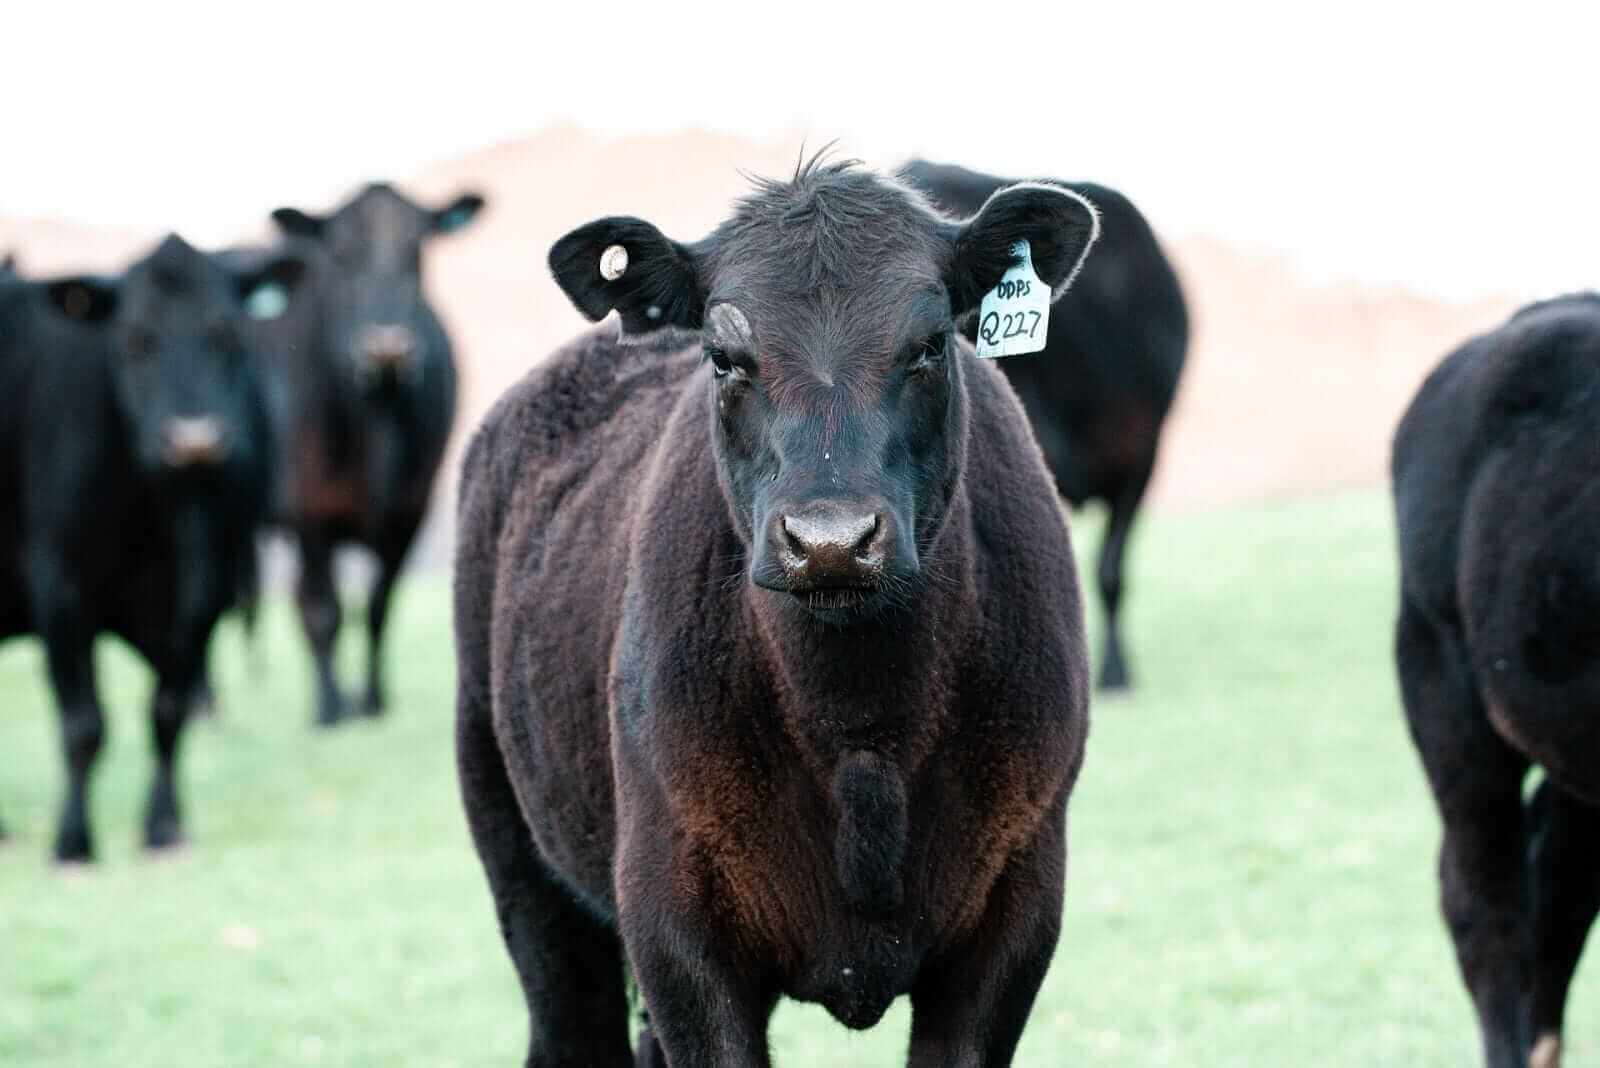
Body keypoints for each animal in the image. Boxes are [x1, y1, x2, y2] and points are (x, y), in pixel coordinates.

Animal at [0, 235, 301, 861]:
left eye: (226, 332)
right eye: (135, 339)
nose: (194, 440)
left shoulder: (205, 595)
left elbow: (169, 712)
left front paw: (164, 827)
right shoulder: (60, 587)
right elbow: (83, 725)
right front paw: (73, 842)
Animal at [254, 182, 484, 725]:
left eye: (418, 248)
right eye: (341, 253)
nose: (387, 342)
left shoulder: (411, 510)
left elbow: (380, 606)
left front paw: (373, 701)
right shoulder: (308, 511)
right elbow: (322, 609)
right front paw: (330, 709)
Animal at [455, 158, 1097, 1066]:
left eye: (932, 343)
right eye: (725, 358)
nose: (830, 540)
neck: (863, 737)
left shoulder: (1016, 908)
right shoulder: (673, 921)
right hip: (519, 856)